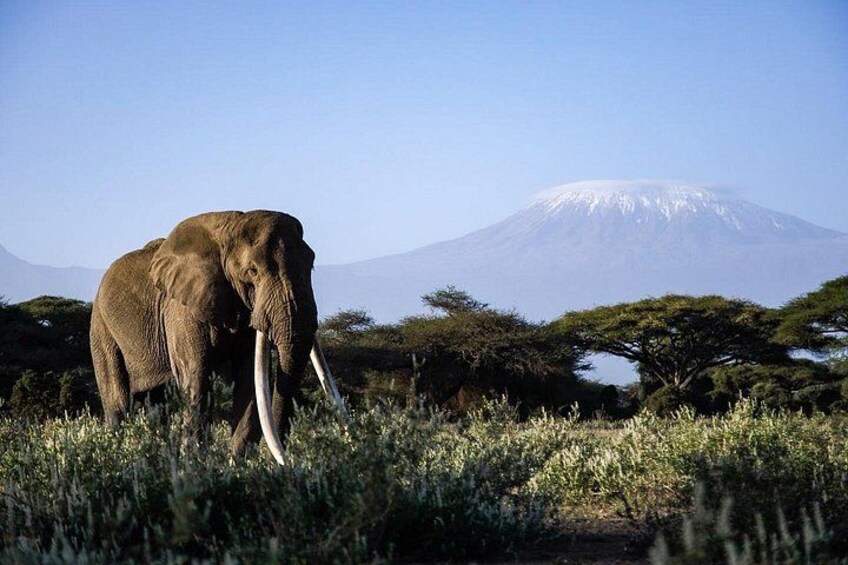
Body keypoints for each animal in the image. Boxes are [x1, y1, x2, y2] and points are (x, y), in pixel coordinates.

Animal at [89, 210, 343, 464]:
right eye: (252, 271)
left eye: (311, 264)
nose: (281, 464)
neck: (229, 230)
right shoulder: (181, 310)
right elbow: (197, 378)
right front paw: (196, 464)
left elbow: (249, 379)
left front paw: (239, 464)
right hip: (101, 328)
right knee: (118, 401)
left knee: (156, 406)